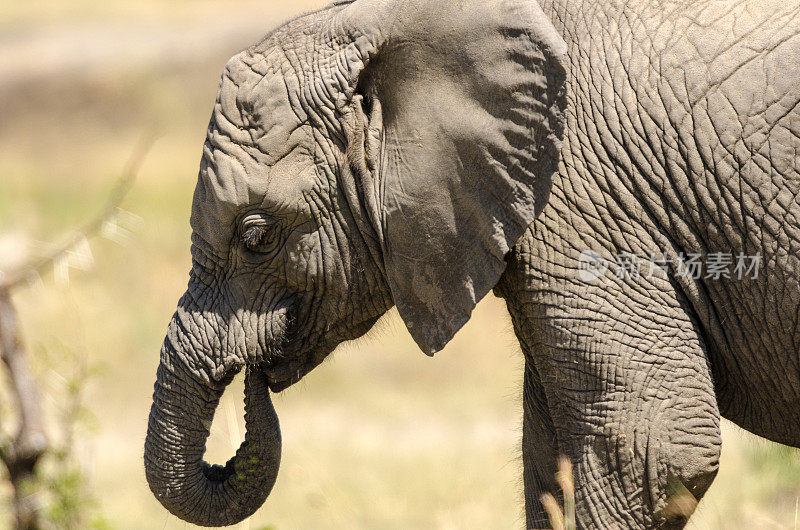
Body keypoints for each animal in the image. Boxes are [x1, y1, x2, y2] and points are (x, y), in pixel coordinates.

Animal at [142, 0, 800, 524]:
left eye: (256, 235)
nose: (257, 375)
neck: (388, 22)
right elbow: (552, 454)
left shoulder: (586, 206)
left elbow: (652, 448)